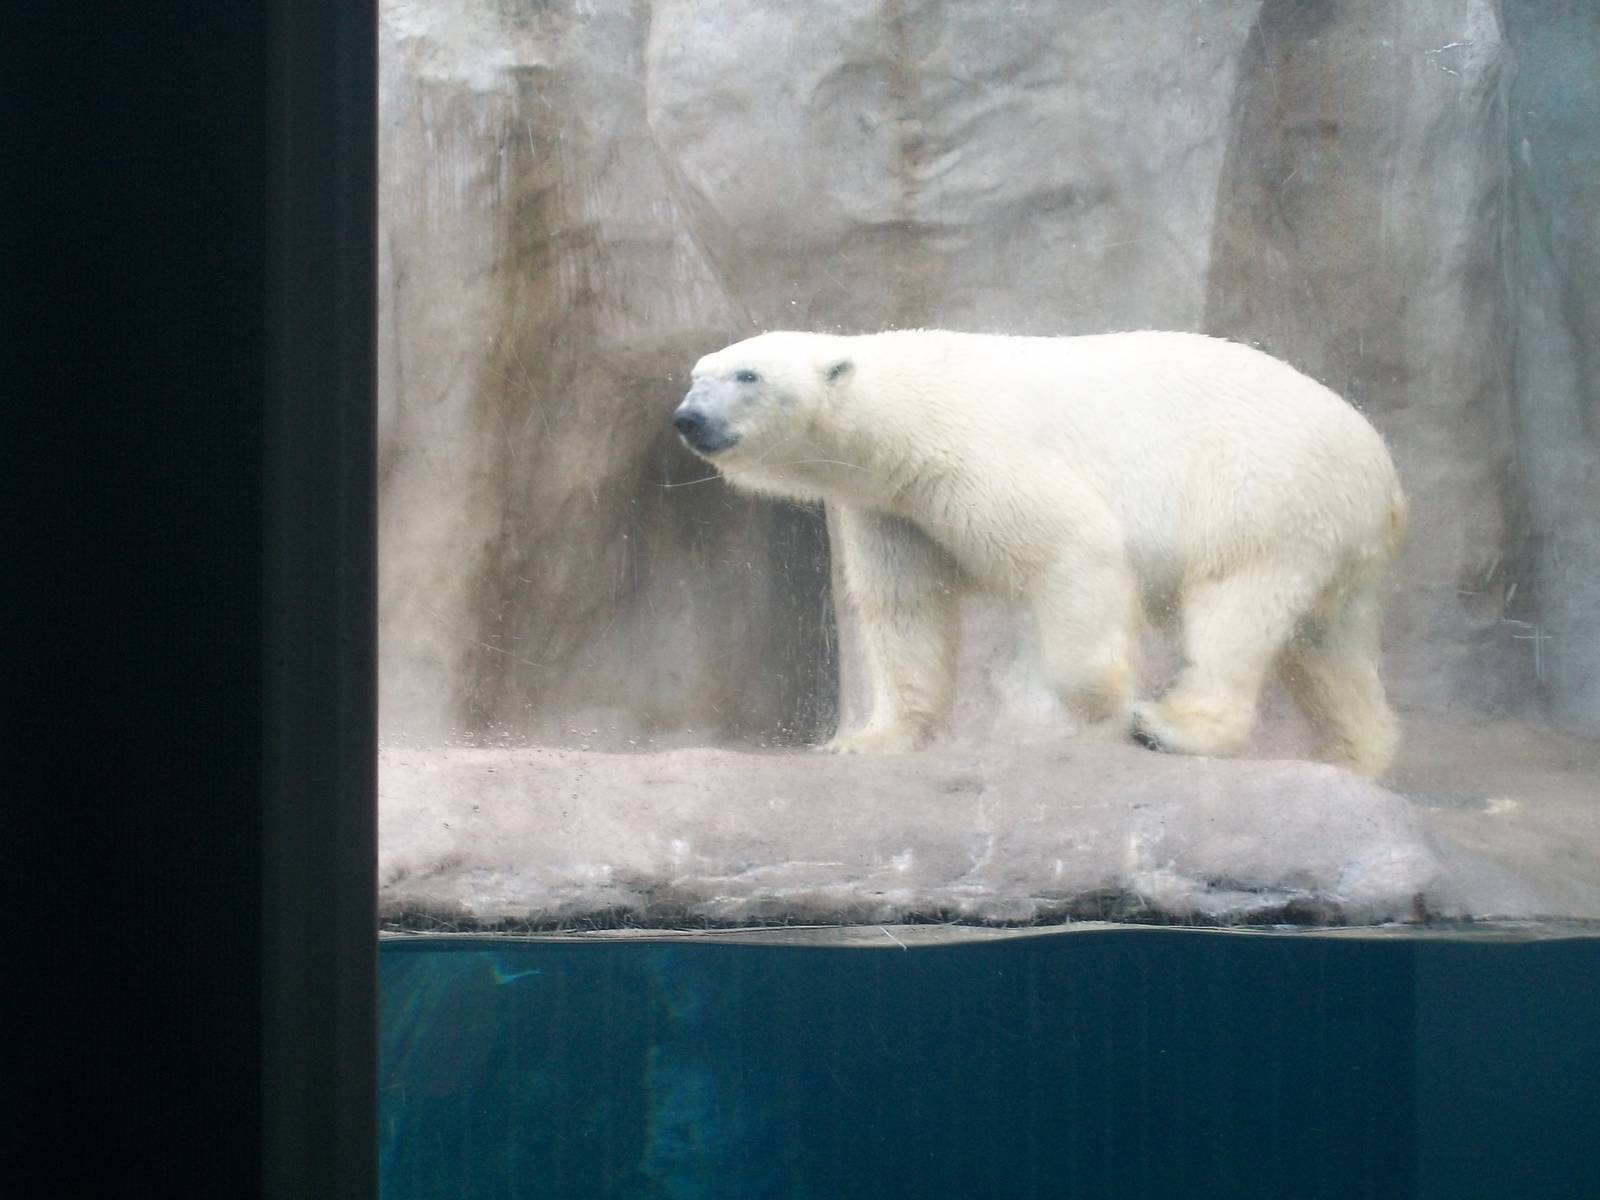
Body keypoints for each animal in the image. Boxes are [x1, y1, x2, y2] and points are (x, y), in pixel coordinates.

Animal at [672, 329, 1407, 777]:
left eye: (747, 376)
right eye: (696, 374)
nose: (687, 418)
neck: (903, 407)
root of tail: (1384, 475)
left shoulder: (971, 456)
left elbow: (1073, 545)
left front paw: (1105, 701)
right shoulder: (893, 508)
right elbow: (906, 609)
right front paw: (867, 739)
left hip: (1264, 486)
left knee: (1237, 603)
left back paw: (1171, 726)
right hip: (1334, 535)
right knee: (1329, 651)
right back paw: (1352, 758)